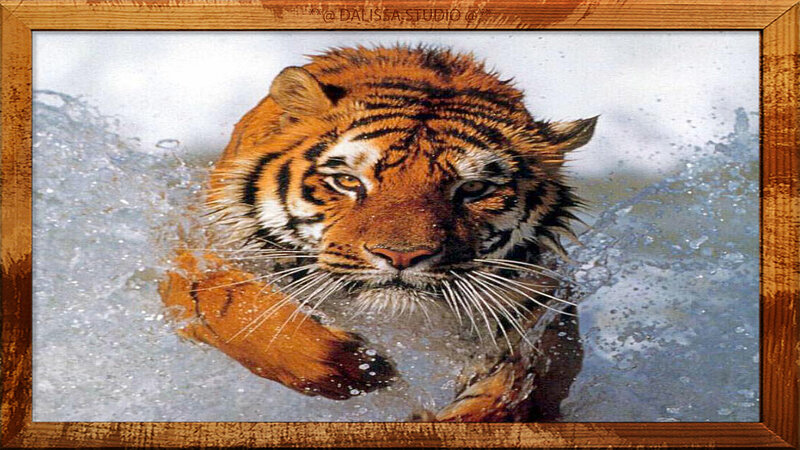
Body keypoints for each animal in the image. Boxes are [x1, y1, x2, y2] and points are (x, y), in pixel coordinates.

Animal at [160, 45, 596, 422]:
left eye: (473, 188)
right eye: (348, 181)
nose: (402, 256)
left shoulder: (542, 307)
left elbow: (522, 385)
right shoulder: (199, 254)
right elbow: (230, 303)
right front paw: (359, 368)